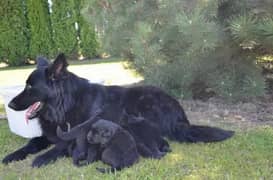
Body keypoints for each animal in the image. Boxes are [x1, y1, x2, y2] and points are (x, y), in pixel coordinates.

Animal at [1, 53, 232, 167]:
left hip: (145, 103)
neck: (64, 106)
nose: (10, 105)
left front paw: (42, 158)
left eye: (30, 87)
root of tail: (181, 115)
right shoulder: (48, 134)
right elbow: (31, 143)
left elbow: (60, 145)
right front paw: (12, 155)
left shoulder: (76, 133)